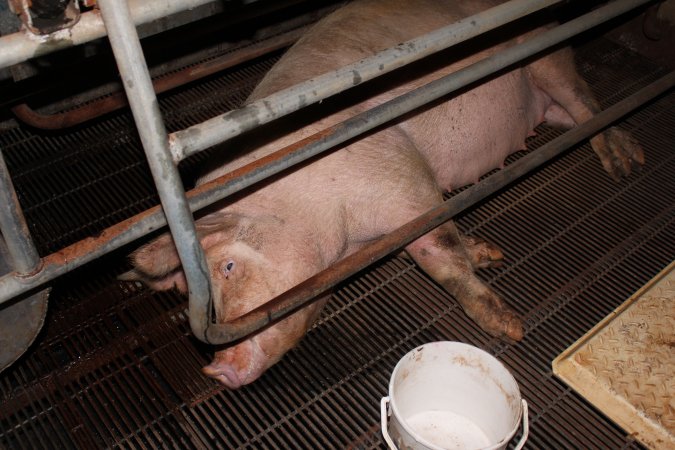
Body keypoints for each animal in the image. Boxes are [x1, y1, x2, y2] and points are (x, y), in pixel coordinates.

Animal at [125, 0, 644, 386]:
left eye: (229, 267)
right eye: (203, 291)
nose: (217, 369)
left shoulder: (401, 176)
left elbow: (441, 254)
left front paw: (507, 327)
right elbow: (443, 245)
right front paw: (489, 253)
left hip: (547, 52)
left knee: (588, 103)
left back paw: (625, 165)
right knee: (577, 112)